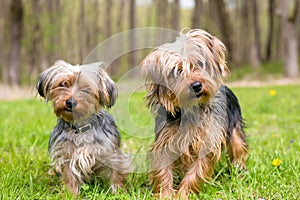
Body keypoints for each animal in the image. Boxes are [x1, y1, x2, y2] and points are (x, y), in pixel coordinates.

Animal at [35, 61, 131, 195]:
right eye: (63, 84)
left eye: (86, 88)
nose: (70, 102)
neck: (80, 128)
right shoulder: (66, 153)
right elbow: (69, 175)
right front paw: (70, 193)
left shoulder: (111, 152)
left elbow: (116, 172)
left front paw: (118, 191)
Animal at [141, 28, 248, 198]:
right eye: (176, 71)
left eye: (199, 63)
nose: (197, 85)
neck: (191, 109)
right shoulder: (166, 140)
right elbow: (163, 169)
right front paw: (165, 194)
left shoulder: (206, 141)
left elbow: (195, 172)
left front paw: (183, 194)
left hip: (234, 127)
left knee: (239, 148)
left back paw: (240, 171)